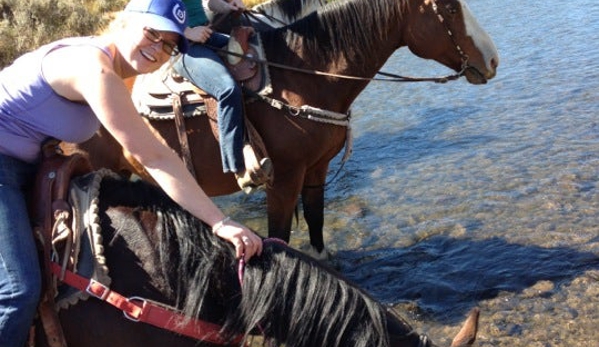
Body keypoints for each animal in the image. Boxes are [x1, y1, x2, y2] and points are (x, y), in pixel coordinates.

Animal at [62, 0, 502, 258]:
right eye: (449, 8)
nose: (494, 61)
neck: (306, 76)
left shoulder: (317, 170)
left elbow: (317, 226)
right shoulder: (284, 179)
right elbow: (280, 237)